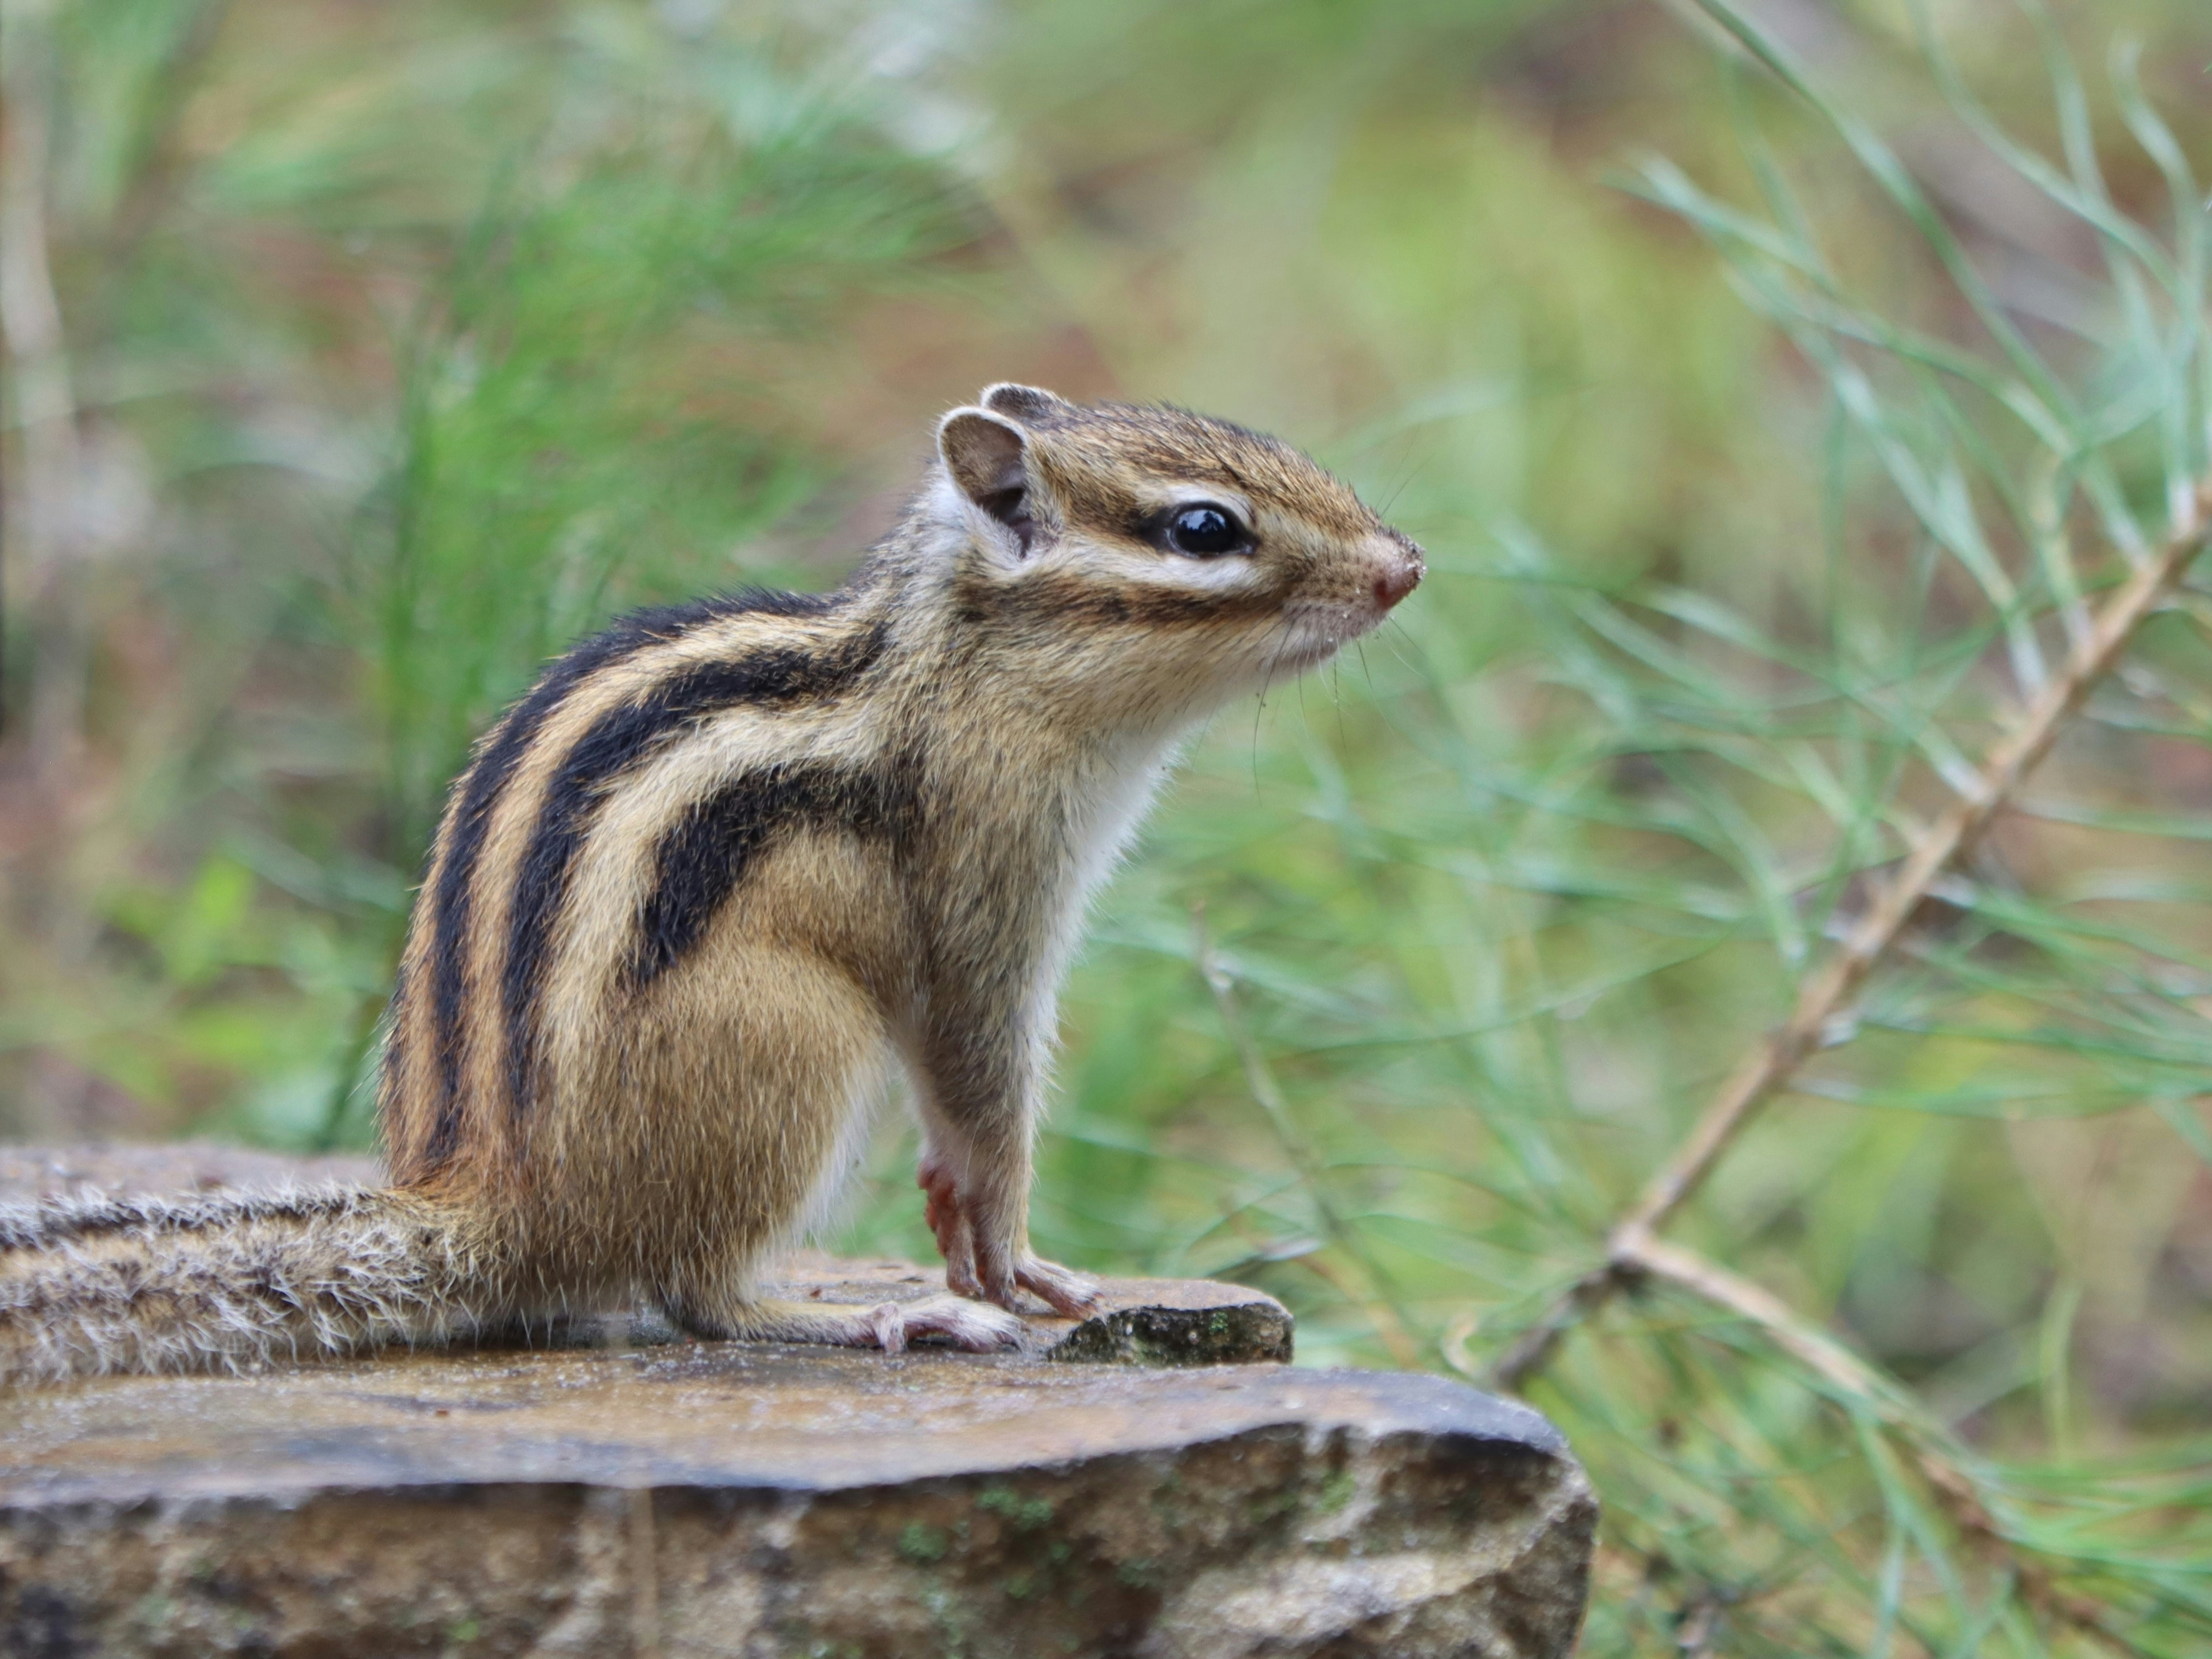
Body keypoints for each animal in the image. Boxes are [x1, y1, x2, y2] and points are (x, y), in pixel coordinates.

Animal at [0, 384, 1422, 1383]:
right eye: (1205, 528)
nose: (1406, 564)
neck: (951, 669)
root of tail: (489, 1204)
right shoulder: (988, 890)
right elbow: (984, 1082)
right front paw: (1012, 1267)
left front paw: (956, 1226)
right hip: (799, 1037)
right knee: (697, 1295)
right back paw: (870, 1316)